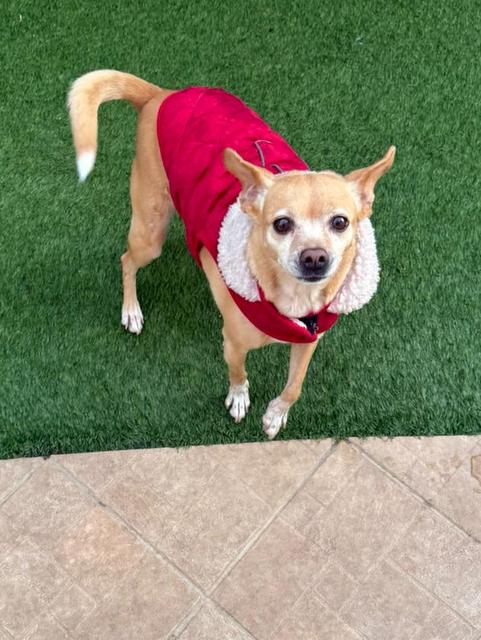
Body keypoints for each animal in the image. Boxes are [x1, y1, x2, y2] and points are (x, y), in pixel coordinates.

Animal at [68, 70, 395, 439]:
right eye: (282, 224)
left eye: (340, 222)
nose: (314, 257)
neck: (294, 299)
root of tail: (162, 95)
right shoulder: (233, 343)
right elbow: (238, 374)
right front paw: (239, 399)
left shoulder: (309, 341)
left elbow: (294, 386)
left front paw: (275, 415)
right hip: (150, 231)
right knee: (127, 261)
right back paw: (131, 311)